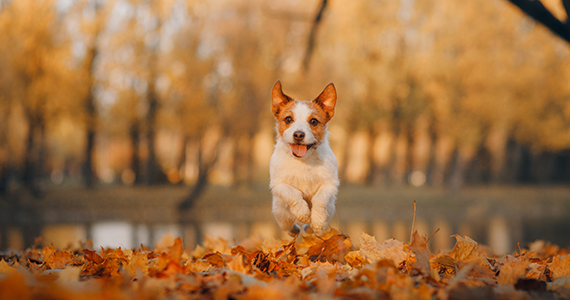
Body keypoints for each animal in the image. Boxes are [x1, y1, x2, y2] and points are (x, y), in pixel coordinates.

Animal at [268, 81, 338, 236]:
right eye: (288, 119)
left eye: (313, 121)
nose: (299, 134)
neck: (304, 160)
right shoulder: (279, 184)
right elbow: (293, 193)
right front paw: (303, 213)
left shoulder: (329, 184)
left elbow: (319, 198)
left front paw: (317, 220)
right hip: (280, 213)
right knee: (288, 224)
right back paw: (295, 230)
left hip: (330, 210)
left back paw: (309, 227)